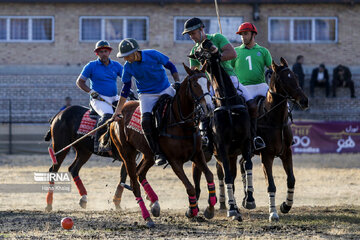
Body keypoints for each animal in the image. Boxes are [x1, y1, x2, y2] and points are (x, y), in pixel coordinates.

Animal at [108, 64, 217, 228]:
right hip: (127, 154)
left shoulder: (198, 155)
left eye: (209, 82)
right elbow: (190, 187)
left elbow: (210, 175)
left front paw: (210, 208)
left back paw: (155, 204)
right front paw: (192, 211)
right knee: (134, 183)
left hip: (148, 154)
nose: (209, 108)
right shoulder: (175, 161)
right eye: (195, 85)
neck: (181, 122)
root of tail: (117, 114)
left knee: (140, 173)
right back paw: (148, 217)